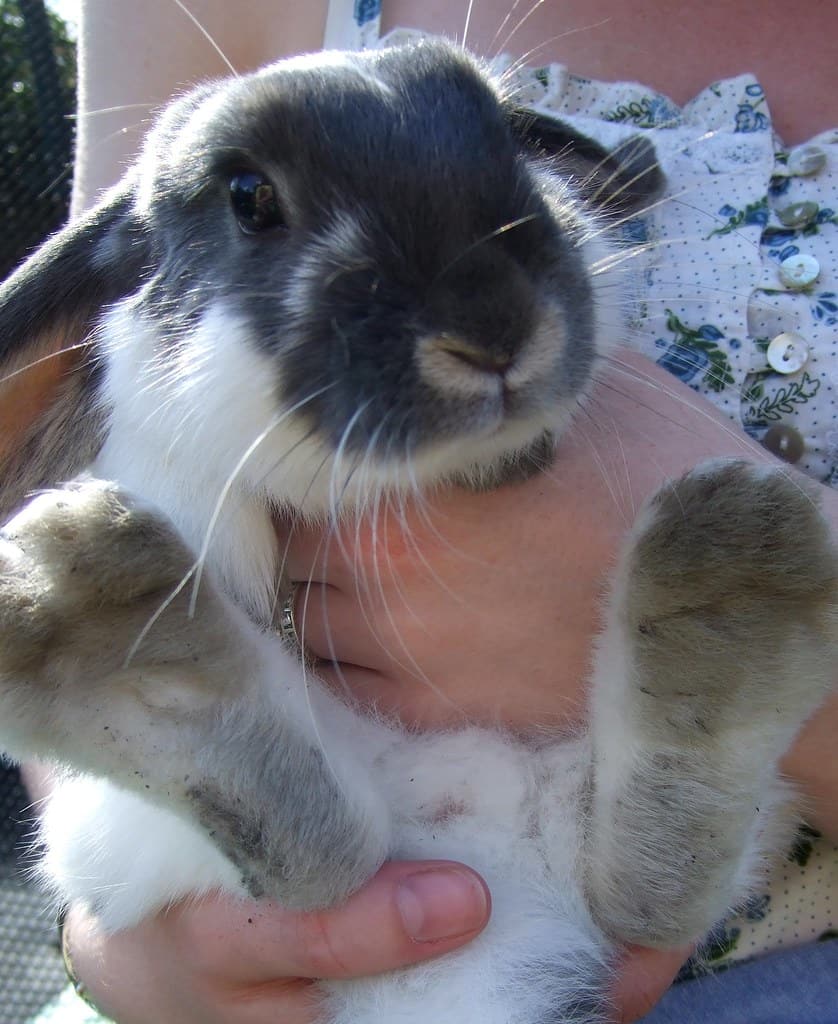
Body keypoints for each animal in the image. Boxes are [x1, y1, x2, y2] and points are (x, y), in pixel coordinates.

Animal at [0, 36, 836, 1024]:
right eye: (249, 197)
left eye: (508, 139)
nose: (494, 326)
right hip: (121, 835)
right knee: (331, 865)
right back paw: (89, 619)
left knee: (638, 893)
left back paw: (731, 584)